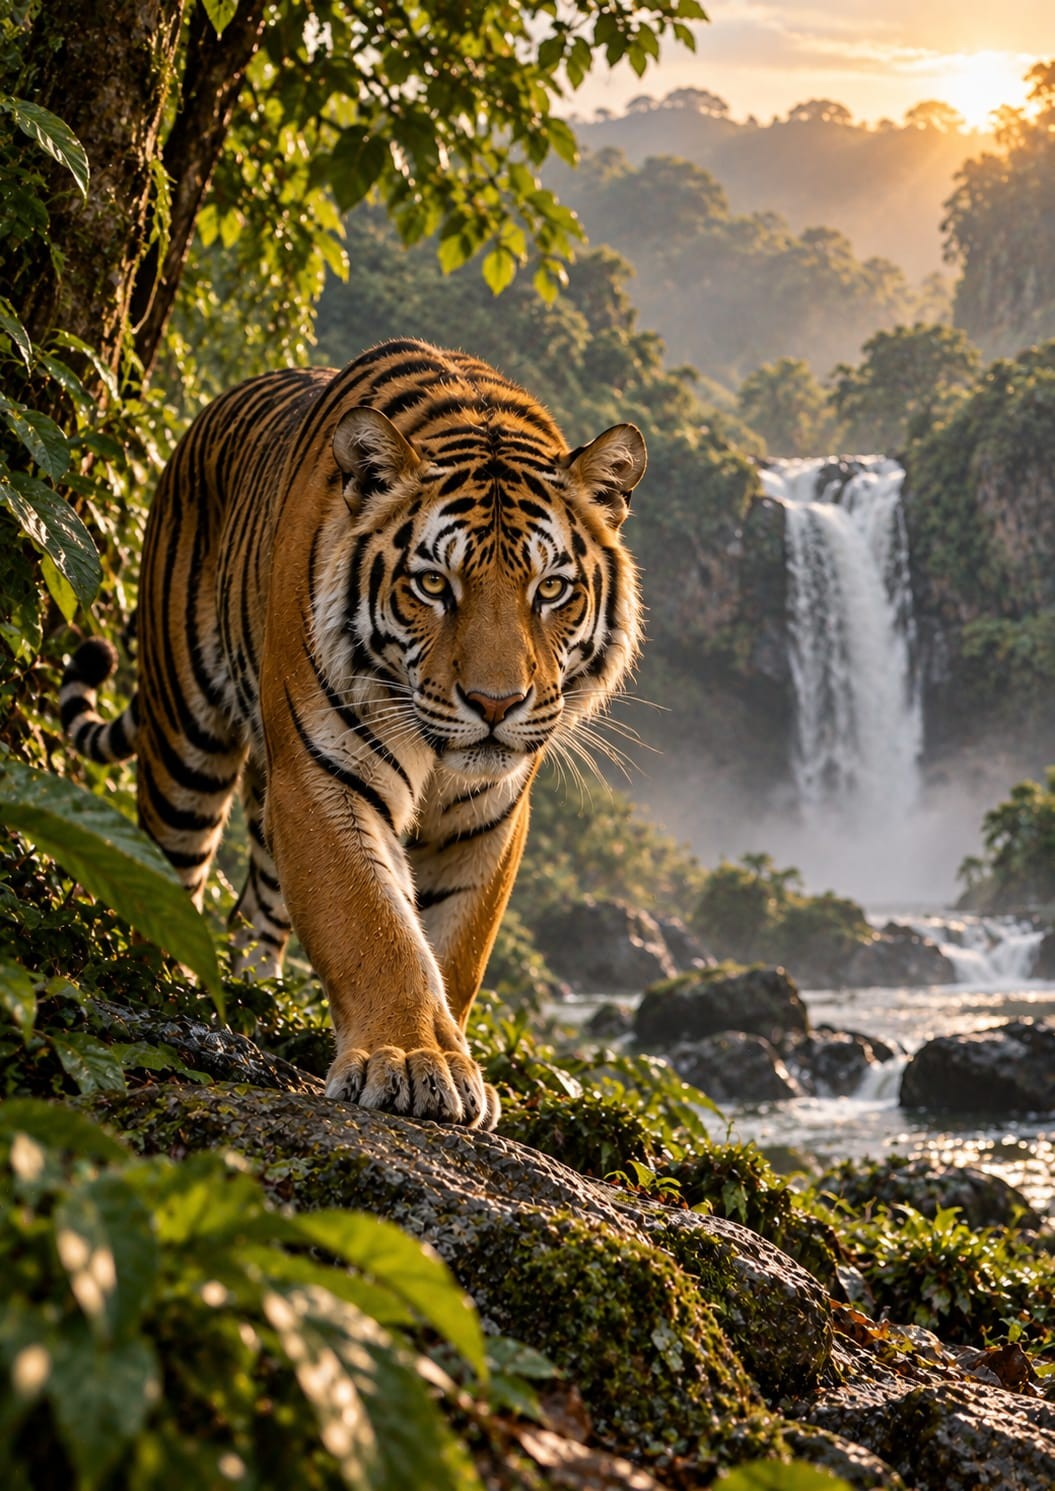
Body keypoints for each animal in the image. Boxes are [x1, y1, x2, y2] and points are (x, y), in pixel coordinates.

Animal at [60, 338, 646, 1130]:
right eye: (434, 585)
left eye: (550, 589)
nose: (494, 703)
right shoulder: (320, 775)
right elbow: (374, 925)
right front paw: (412, 1059)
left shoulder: (489, 815)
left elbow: (452, 949)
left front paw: (450, 1055)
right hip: (185, 741)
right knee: (164, 872)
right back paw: (161, 984)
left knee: (254, 909)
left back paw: (257, 1001)